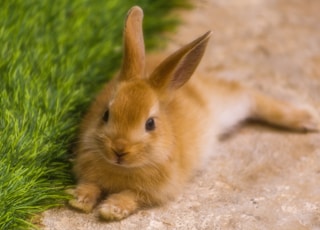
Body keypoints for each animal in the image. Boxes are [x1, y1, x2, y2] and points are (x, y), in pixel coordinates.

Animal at [69, 5, 318, 221]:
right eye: (105, 114)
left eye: (150, 124)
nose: (119, 150)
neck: (123, 168)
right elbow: (91, 185)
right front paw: (78, 200)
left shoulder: (154, 190)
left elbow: (130, 196)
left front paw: (110, 210)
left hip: (227, 105)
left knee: (248, 94)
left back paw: (308, 119)